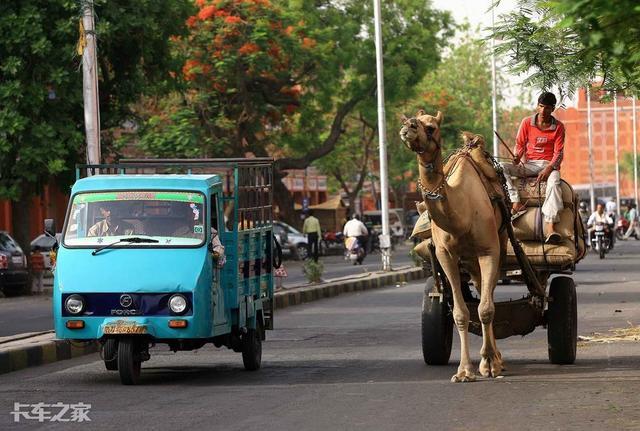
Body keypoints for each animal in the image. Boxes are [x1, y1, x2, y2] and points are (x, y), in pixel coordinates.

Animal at [400, 109, 504, 384]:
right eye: (410, 121)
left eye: (431, 127)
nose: (407, 127)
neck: (462, 212)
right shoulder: (445, 255)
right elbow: (461, 313)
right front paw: (464, 371)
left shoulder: (489, 250)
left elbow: (486, 309)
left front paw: (490, 364)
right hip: (468, 261)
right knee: (478, 287)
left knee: (489, 297)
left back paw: (496, 359)